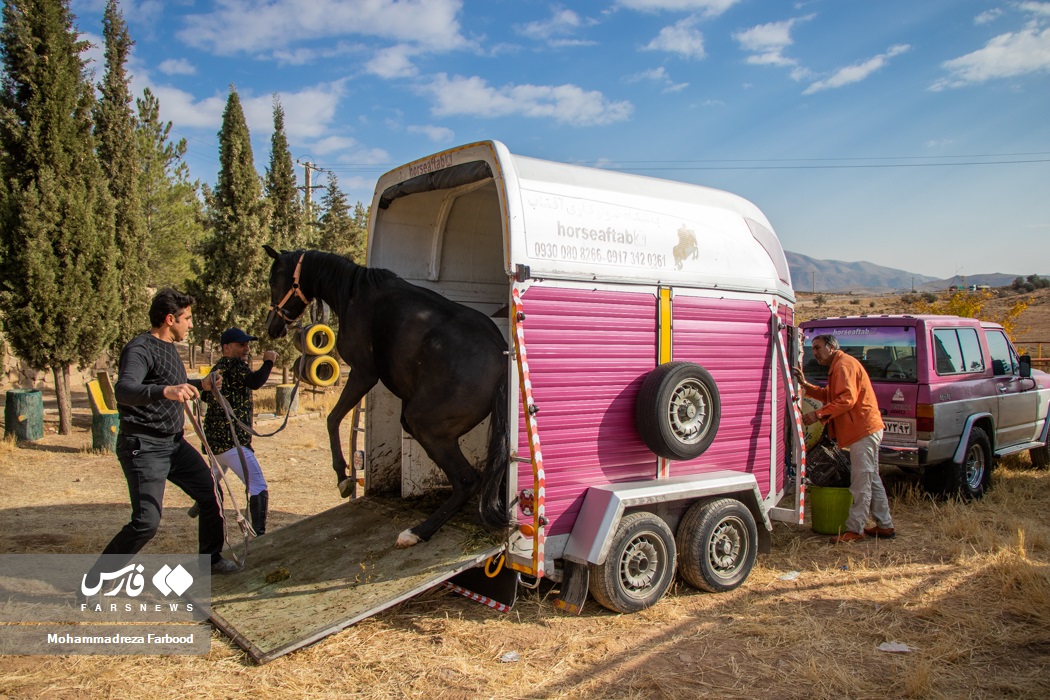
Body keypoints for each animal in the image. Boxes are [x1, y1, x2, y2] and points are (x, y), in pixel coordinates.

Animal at [262, 246, 508, 545]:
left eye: (273, 281)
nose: (272, 326)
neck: (354, 293)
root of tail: (501, 354)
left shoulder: (363, 373)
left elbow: (332, 419)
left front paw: (342, 477)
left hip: (426, 426)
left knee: (467, 481)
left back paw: (418, 532)